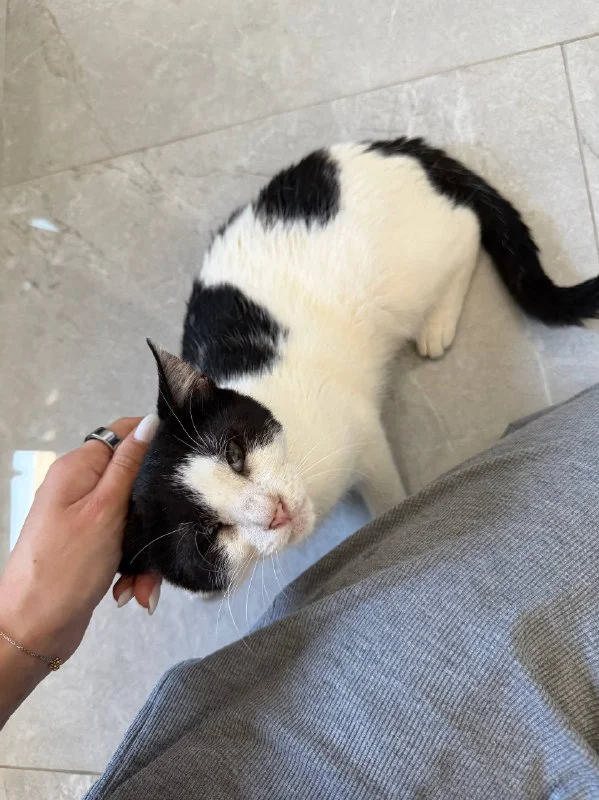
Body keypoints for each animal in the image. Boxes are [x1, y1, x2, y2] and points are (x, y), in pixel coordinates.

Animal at [120, 137, 599, 594]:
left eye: (235, 455)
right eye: (209, 537)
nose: (274, 511)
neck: (310, 476)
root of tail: (391, 148)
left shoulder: (362, 432)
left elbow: (385, 493)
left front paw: (394, 521)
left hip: (406, 274)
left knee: (467, 227)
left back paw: (438, 321)